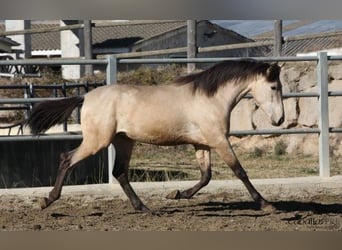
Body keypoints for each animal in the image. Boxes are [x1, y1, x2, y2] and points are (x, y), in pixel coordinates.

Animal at [26, 59, 284, 212]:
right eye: (274, 87)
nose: (279, 120)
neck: (210, 98)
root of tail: (86, 97)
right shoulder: (219, 140)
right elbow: (239, 171)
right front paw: (266, 204)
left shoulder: (202, 144)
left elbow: (206, 176)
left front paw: (176, 194)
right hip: (97, 141)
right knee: (67, 159)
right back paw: (47, 199)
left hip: (123, 141)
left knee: (119, 172)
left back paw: (143, 207)